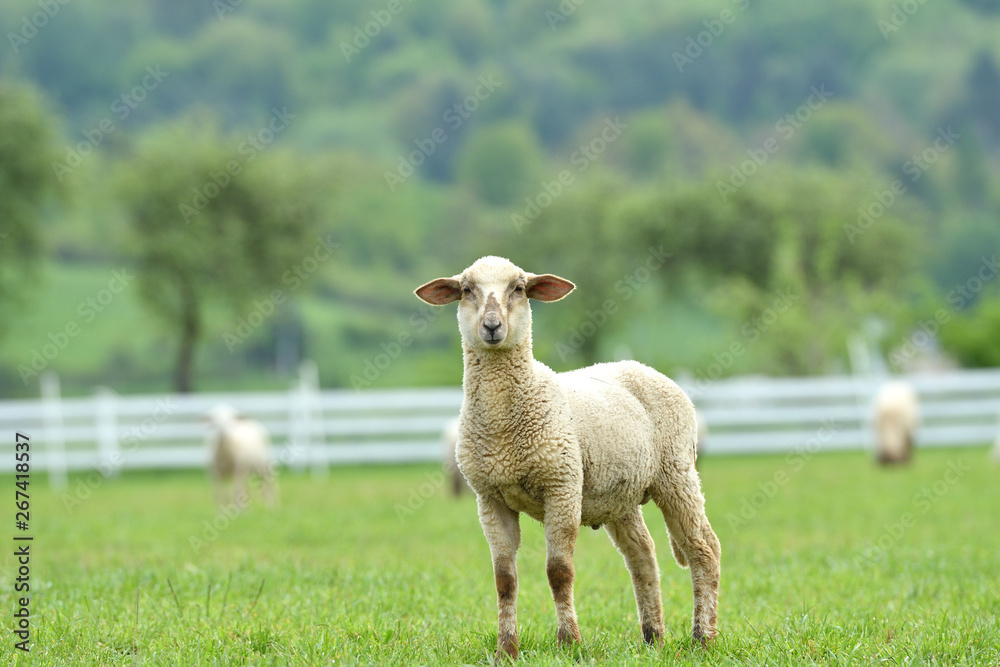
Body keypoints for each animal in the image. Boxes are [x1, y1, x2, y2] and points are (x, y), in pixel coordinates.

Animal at [415, 256, 720, 660]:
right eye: (466, 290)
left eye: (519, 288)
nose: (492, 326)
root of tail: (643, 367)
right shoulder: (490, 498)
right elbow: (504, 580)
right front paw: (506, 650)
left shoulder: (561, 486)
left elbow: (559, 571)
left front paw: (568, 642)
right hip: (619, 495)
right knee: (643, 556)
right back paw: (654, 637)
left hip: (677, 472)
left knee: (704, 548)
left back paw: (703, 638)